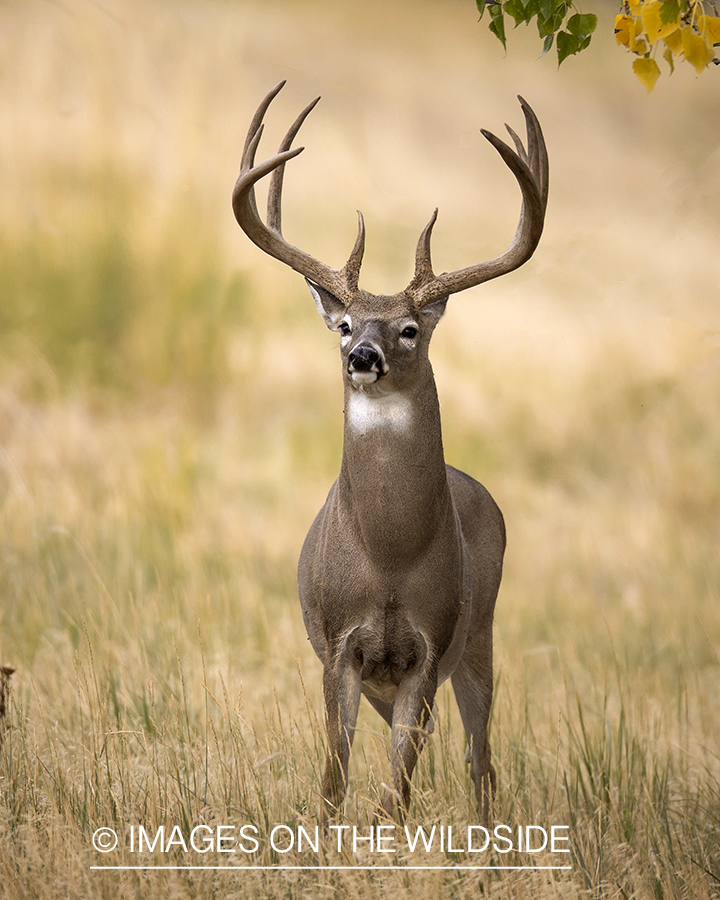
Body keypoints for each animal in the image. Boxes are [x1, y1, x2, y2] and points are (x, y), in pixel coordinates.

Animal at [233, 84, 548, 824]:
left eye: (408, 328)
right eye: (344, 324)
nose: (362, 357)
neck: (389, 558)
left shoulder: (430, 647)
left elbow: (398, 786)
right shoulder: (338, 646)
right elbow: (334, 780)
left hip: (481, 633)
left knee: (480, 759)